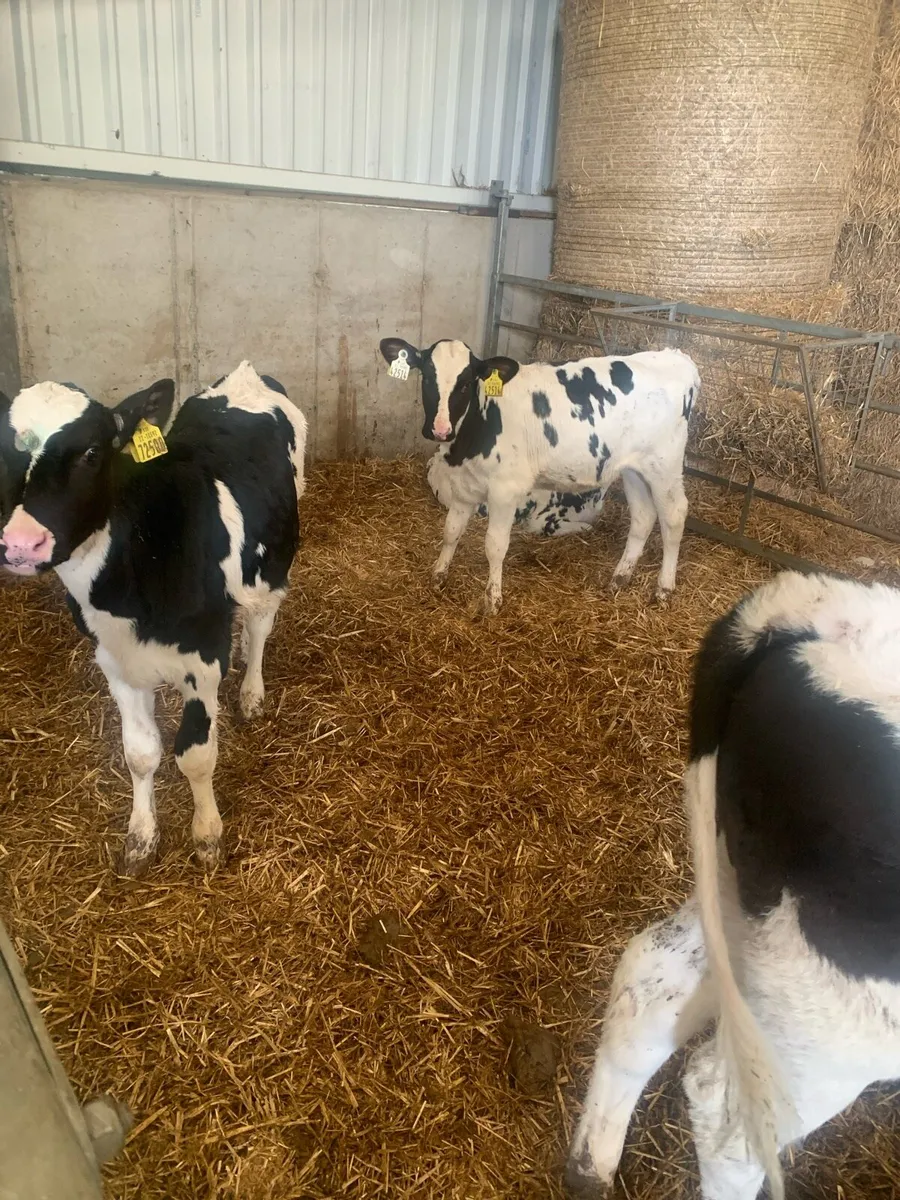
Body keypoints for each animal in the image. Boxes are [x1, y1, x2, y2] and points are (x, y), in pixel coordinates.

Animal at [0, 362, 307, 876]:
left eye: (91, 452)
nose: (23, 543)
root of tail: (246, 373)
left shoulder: (203, 660)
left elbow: (196, 755)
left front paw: (207, 836)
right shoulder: (115, 662)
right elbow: (141, 754)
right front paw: (141, 837)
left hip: (275, 562)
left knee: (262, 622)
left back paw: (252, 690)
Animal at [380, 337, 699, 613]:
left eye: (466, 382)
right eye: (427, 377)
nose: (440, 430)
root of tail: (675, 357)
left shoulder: (506, 490)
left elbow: (495, 546)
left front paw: (492, 599)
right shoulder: (463, 486)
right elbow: (451, 532)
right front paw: (438, 575)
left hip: (664, 465)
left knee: (674, 516)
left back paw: (663, 589)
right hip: (634, 469)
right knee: (643, 516)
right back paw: (619, 578)